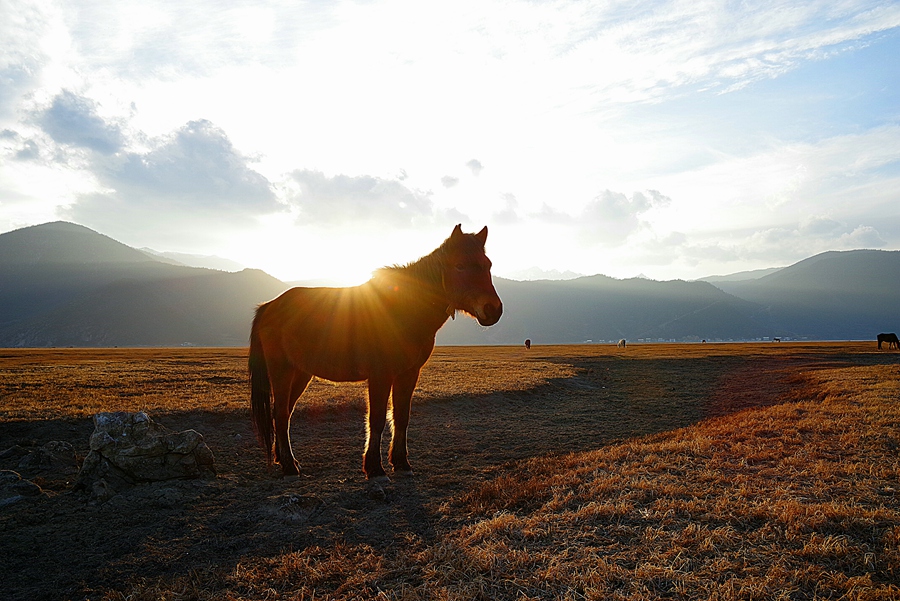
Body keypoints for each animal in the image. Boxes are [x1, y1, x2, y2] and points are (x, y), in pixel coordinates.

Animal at [250, 223, 502, 486]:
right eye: (460, 265)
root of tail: (269, 306)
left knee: (283, 414)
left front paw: (401, 464)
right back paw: (289, 467)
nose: (493, 310)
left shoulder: (408, 373)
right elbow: (377, 419)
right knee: (280, 414)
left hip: (300, 374)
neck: (403, 308)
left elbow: (401, 416)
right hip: (282, 371)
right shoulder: (381, 375)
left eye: (488, 264)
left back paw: (285, 460)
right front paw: (375, 469)